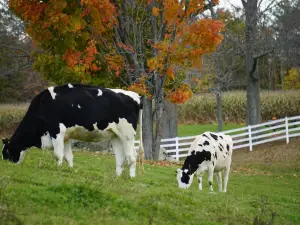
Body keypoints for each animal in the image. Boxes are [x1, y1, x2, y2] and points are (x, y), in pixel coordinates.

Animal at [1, 83, 144, 178]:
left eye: (5, 152)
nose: (6, 165)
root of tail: (136, 96)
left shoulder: (57, 131)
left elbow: (58, 154)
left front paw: (56, 169)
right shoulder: (65, 137)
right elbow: (68, 156)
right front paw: (69, 171)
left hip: (127, 135)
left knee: (132, 156)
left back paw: (131, 177)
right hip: (116, 135)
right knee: (120, 157)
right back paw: (117, 177)